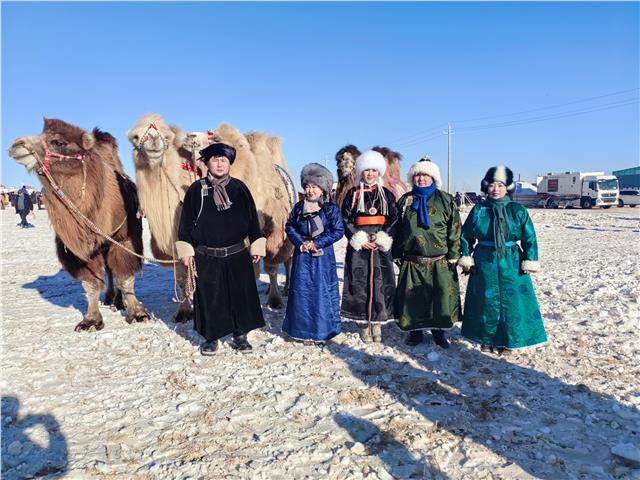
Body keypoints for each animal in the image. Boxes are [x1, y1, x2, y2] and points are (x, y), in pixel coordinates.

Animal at [7, 118, 148, 332]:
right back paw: (110, 299)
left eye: (59, 142)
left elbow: (125, 278)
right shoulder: (80, 250)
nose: (17, 145)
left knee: (114, 270)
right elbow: (90, 284)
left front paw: (138, 314)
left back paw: (118, 301)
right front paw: (90, 321)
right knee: (109, 270)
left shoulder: (124, 240)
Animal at [127, 113, 202, 322]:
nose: (153, 139)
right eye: (135, 137)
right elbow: (183, 277)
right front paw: (184, 311)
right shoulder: (177, 247)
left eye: (167, 136)